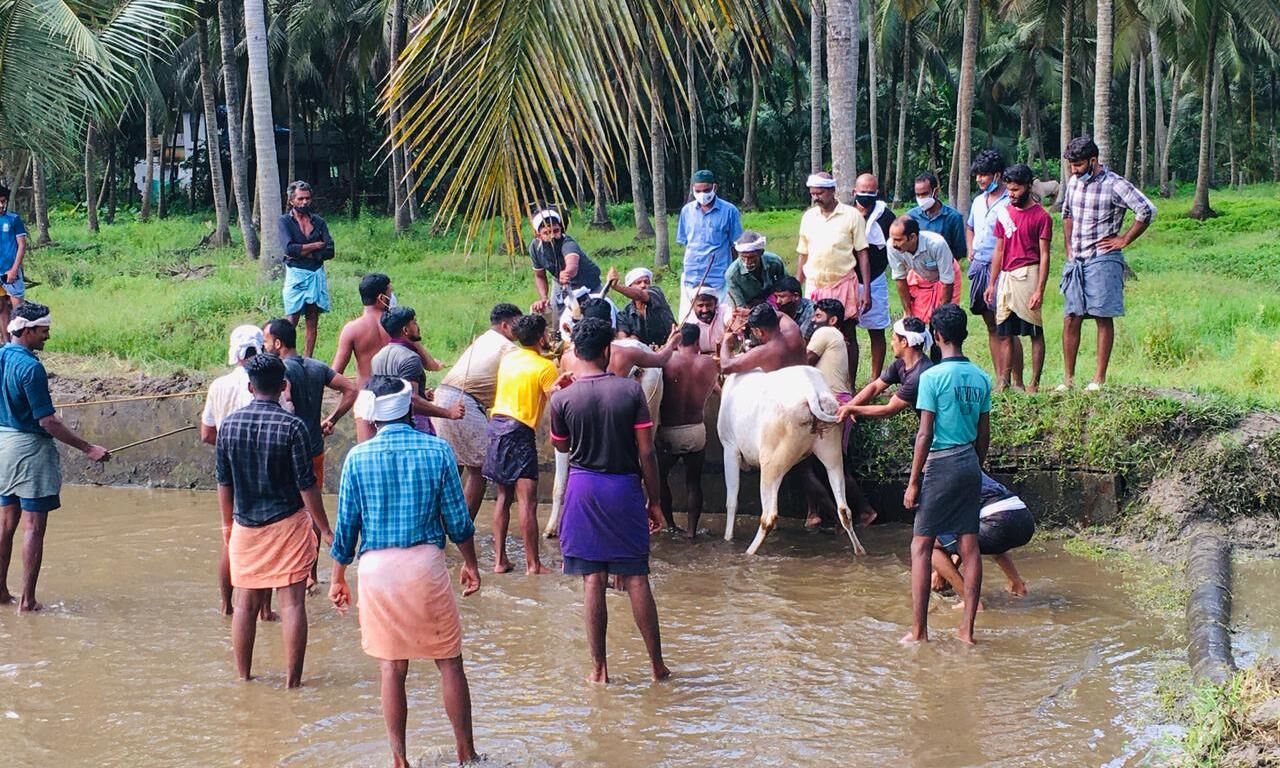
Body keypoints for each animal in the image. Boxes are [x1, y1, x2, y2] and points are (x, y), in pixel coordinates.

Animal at [721, 368, 870, 555]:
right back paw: (860, 550)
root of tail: (812, 392)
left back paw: (749, 552)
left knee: (768, 516)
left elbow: (732, 501)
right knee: (844, 509)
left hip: (770, 461)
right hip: (832, 450)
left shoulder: (729, 448)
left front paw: (728, 538)